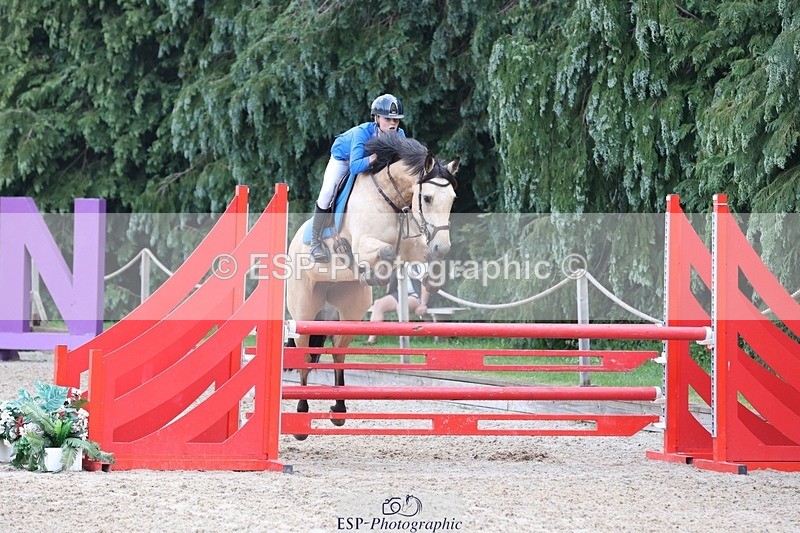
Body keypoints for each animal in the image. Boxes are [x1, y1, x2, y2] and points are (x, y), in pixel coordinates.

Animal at [286, 134, 459, 439]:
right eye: (427, 198)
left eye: (452, 199)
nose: (442, 247)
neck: (390, 199)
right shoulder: (364, 245)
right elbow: (387, 252)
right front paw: (376, 274)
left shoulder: (413, 246)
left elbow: (418, 257)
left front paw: (430, 279)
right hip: (304, 313)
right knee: (305, 356)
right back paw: (302, 416)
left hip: (348, 312)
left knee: (338, 352)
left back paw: (339, 411)